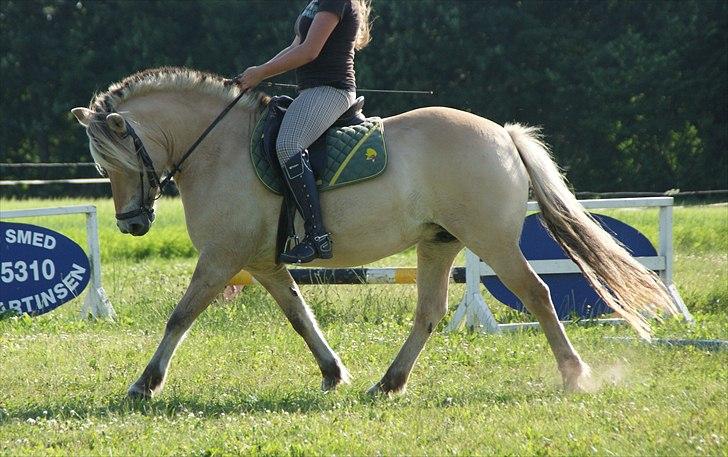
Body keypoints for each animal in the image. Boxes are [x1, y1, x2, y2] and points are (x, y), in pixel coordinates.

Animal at [72, 66, 676, 398]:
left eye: (118, 162)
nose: (131, 223)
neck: (217, 149)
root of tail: (502, 135)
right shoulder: (264, 263)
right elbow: (300, 316)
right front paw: (333, 371)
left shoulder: (222, 259)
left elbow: (179, 317)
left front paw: (144, 383)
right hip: (438, 242)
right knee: (429, 312)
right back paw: (388, 382)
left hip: (493, 241)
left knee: (537, 294)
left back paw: (575, 374)